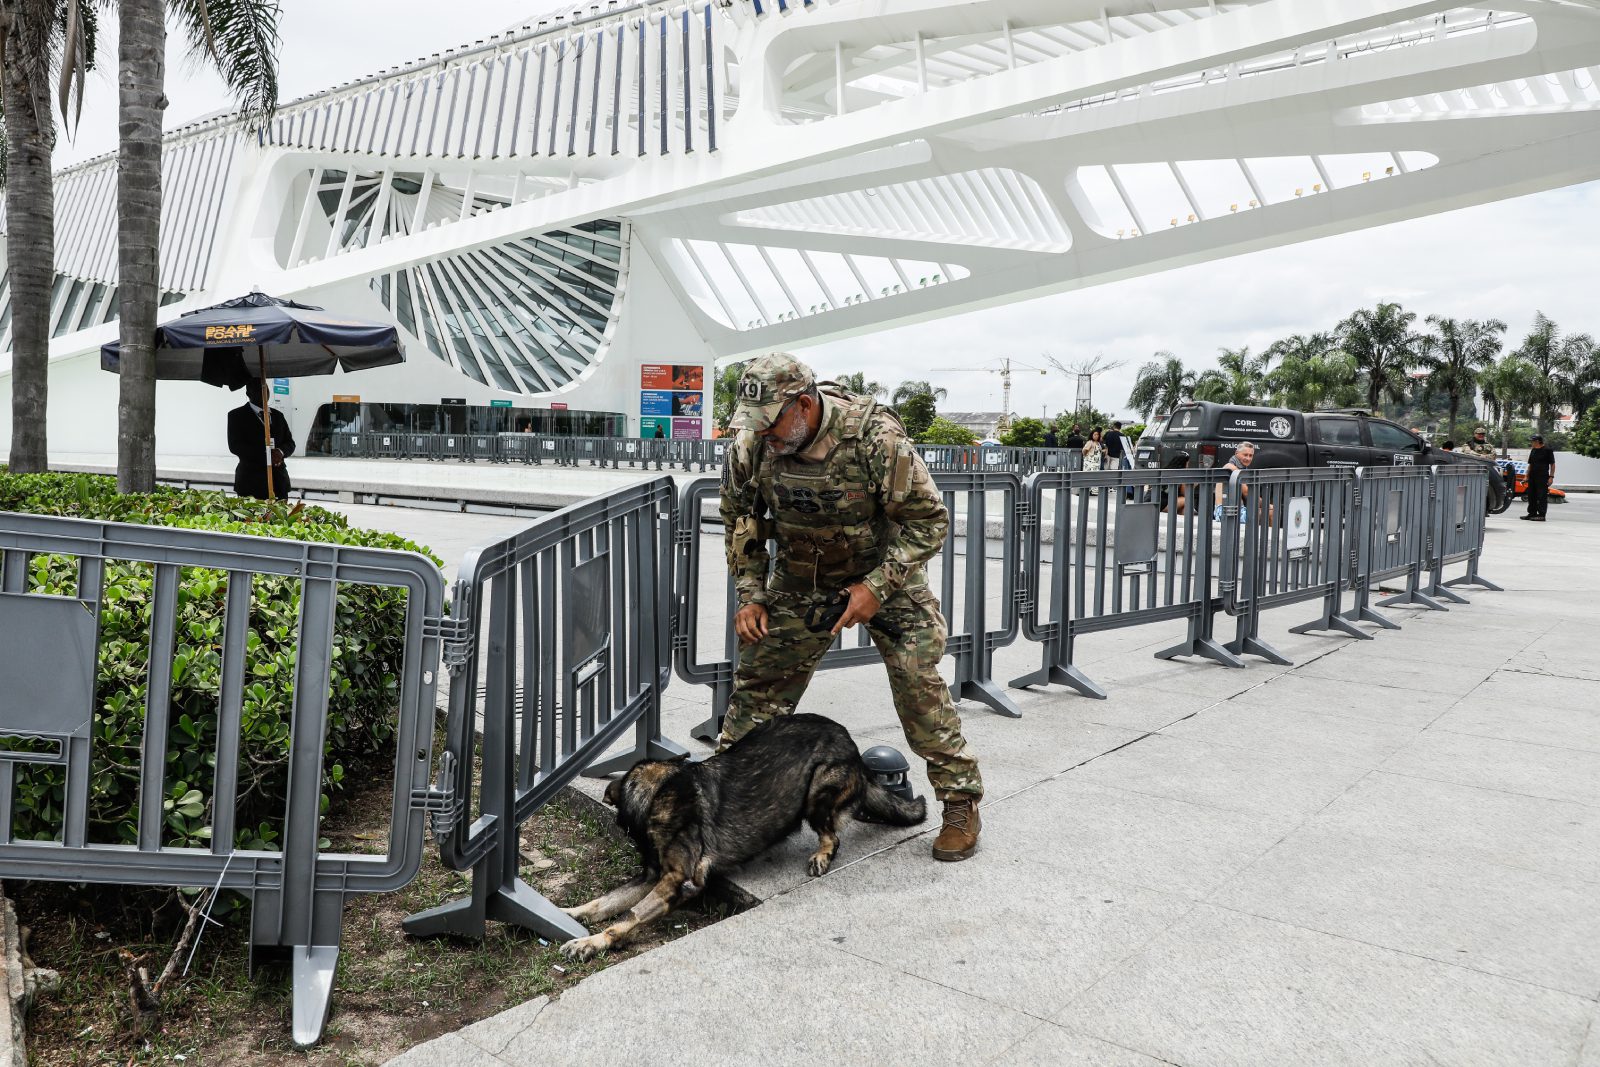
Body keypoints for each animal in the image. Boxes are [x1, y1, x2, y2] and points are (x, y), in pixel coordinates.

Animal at [560, 713, 928, 966]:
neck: (658, 793)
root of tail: (853, 747)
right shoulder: (652, 876)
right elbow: (605, 902)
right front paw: (571, 915)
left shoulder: (677, 881)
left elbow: (629, 916)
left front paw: (593, 942)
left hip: (818, 789)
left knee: (832, 837)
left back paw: (821, 854)